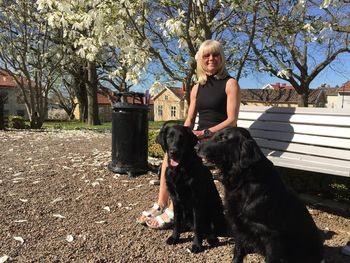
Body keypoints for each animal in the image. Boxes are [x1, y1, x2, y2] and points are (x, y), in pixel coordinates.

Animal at [156, 125, 227, 254]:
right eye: (169, 137)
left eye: (182, 138)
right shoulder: (175, 200)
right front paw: (174, 237)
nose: (174, 152)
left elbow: (198, 226)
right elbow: (177, 222)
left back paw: (211, 238)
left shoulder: (196, 201)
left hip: (214, 210)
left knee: (210, 229)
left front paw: (197, 245)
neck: (180, 170)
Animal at [198, 127, 324, 262]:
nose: (196, 147)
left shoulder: (270, 235)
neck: (244, 180)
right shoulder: (239, 225)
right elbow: (238, 250)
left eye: (223, 138)